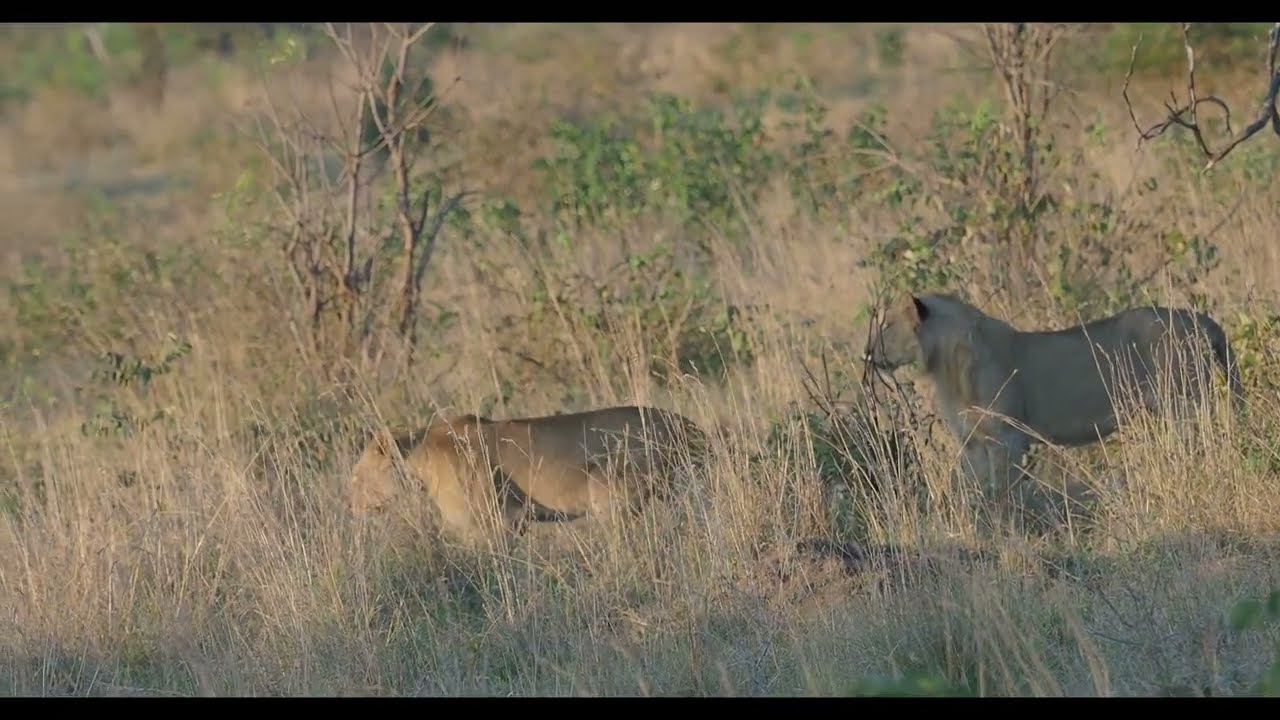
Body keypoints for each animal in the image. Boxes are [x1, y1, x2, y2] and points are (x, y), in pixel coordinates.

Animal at [862, 292, 1245, 500]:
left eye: (886, 326)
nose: (866, 352)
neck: (945, 366)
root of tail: (1195, 318)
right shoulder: (972, 442)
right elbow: (974, 488)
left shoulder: (1009, 438)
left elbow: (1003, 490)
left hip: (1184, 404)